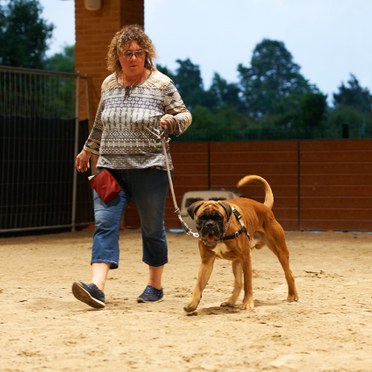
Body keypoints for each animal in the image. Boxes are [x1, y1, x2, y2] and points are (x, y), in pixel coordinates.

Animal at [185, 176, 298, 312]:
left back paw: (292, 295)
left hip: (280, 252)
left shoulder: (246, 257)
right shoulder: (206, 263)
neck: (222, 236)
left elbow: (248, 282)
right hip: (236, 262)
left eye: (219, 217)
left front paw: (248, 302)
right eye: (202, 217)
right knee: (238, 284)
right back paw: (230, 301)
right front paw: (192, 303)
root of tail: (264, 207)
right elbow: (199, 284)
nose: (210, 224)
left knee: (289, 273)